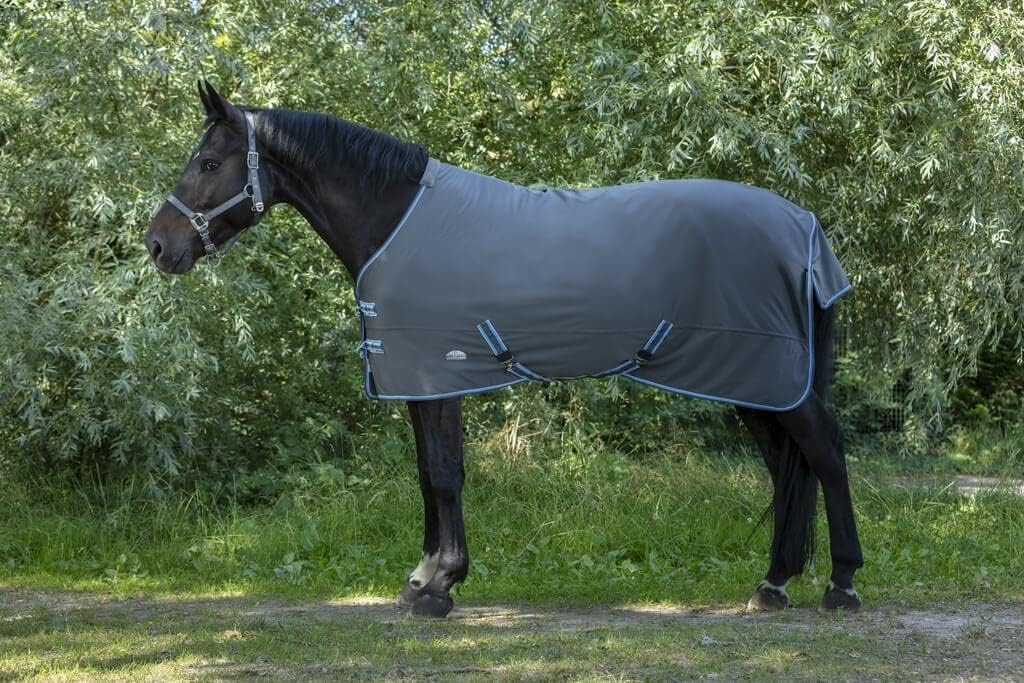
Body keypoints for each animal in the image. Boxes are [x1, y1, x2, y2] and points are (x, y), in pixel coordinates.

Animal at [146, 81, 863, 618]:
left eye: (209, 164)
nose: (157, 245)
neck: (395, 220)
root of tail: (803, 225)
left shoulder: (439, 376)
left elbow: (444, 473)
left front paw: (439, 585)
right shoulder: (419, 381)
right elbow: (427, 473)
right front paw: (424, 576)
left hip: (772, 378)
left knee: (826, 453)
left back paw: (842, 584)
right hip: (754, 383)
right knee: (784, 464)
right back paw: (774, 583)